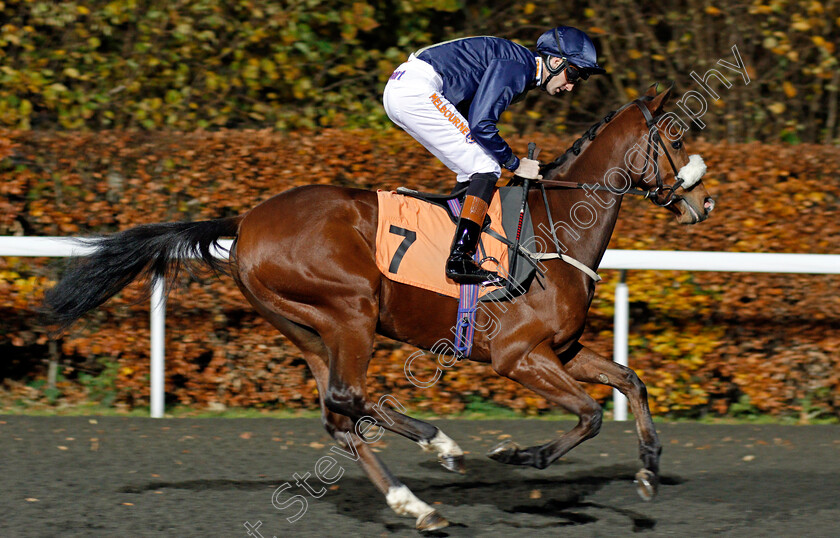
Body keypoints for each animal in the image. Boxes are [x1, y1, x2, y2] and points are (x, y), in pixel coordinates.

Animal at [42, 84, 716, 528]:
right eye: (675, 134)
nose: (702, 202)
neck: (555, 232)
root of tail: (249, 219)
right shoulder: (518, 356)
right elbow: (590, 415)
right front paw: (518, 454)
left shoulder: (563, 350)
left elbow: (630, 381)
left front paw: (649, 469)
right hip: (351, 311)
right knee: (348, 399)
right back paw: (438, 447)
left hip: (305, 327)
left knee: (338, 413)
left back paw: (415, 502)